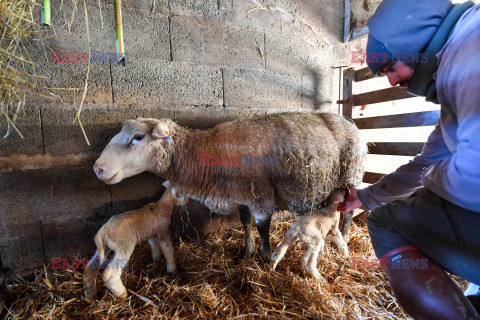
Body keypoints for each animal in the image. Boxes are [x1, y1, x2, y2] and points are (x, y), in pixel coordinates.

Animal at [92, 112, 366, 262]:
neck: (207, 152)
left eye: (138, 137)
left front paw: (264, 258)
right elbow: (245, 223)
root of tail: (349, 122)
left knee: (349, 211)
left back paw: (346, 237)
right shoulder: (241, 196)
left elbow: (262, 228)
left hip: (351, 178)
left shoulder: (260, 197)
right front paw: (247, 251)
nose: (98, 169)